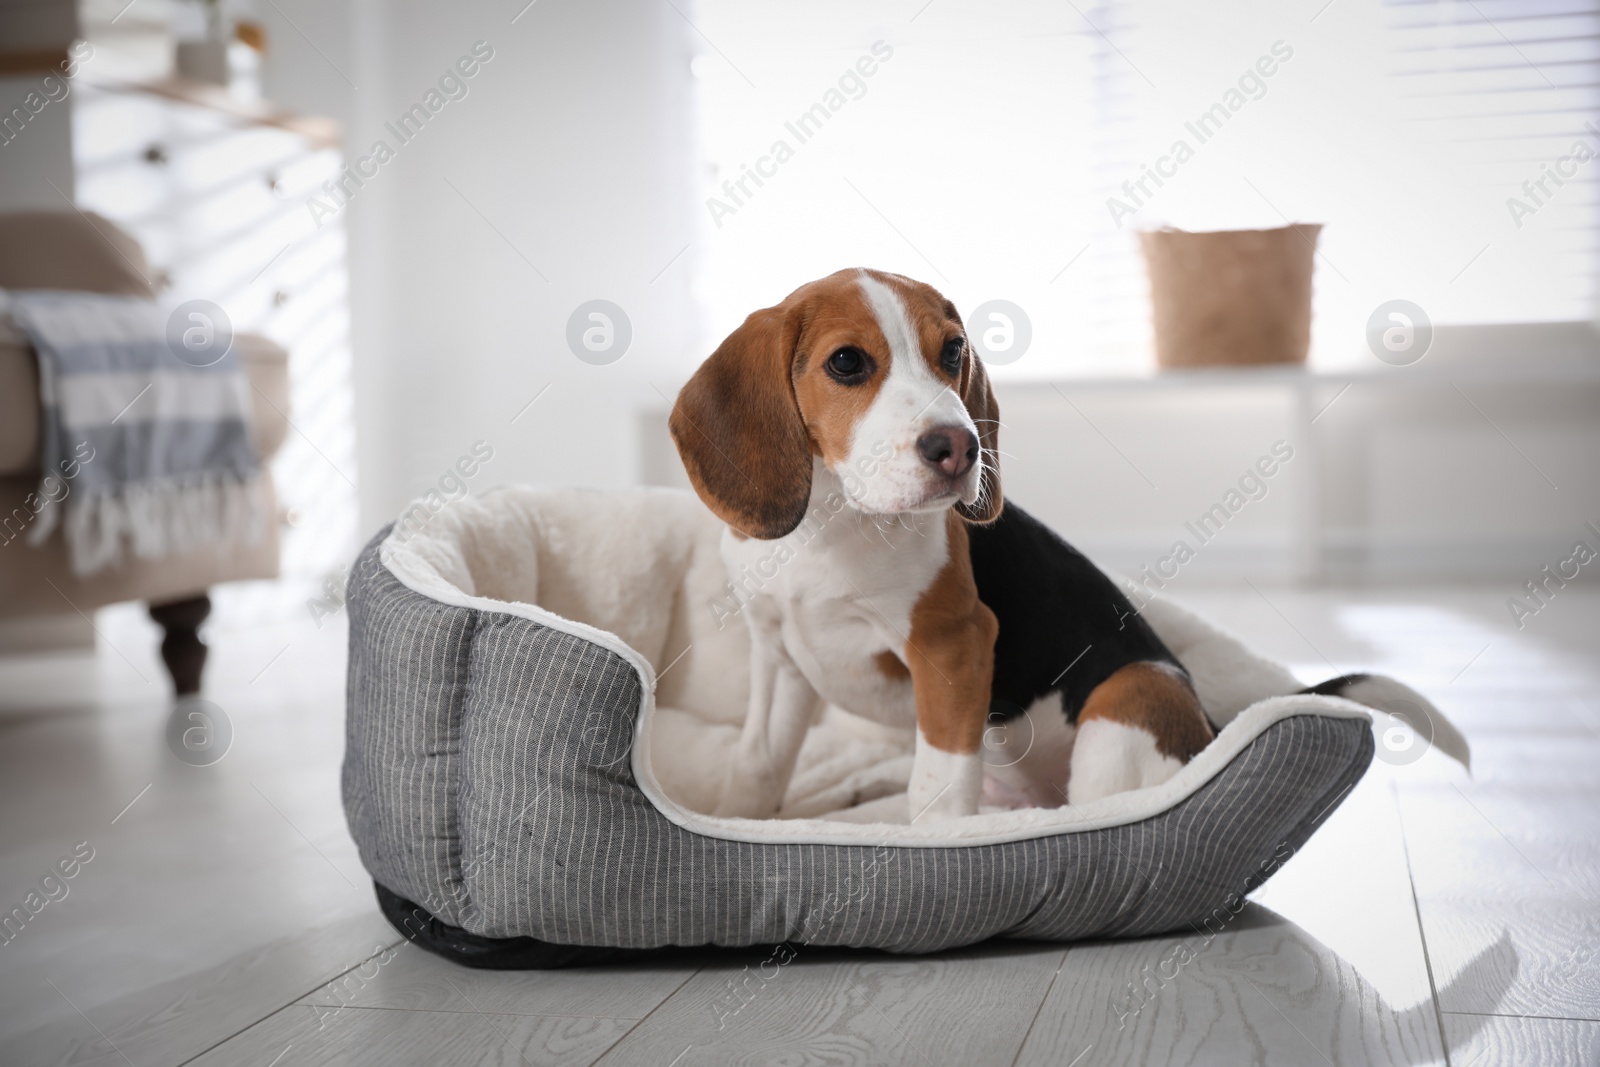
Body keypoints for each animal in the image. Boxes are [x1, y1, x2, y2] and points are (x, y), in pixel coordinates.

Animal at [672, 271, 1209, 825]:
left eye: (953, 351)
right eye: (846, 362)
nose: (960, 449)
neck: (830, 524)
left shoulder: (953, 644)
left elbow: (936, 789)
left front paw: (939, 838)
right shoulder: (778, 655)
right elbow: (756, 763)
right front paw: (735, 819)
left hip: (1136, 691)